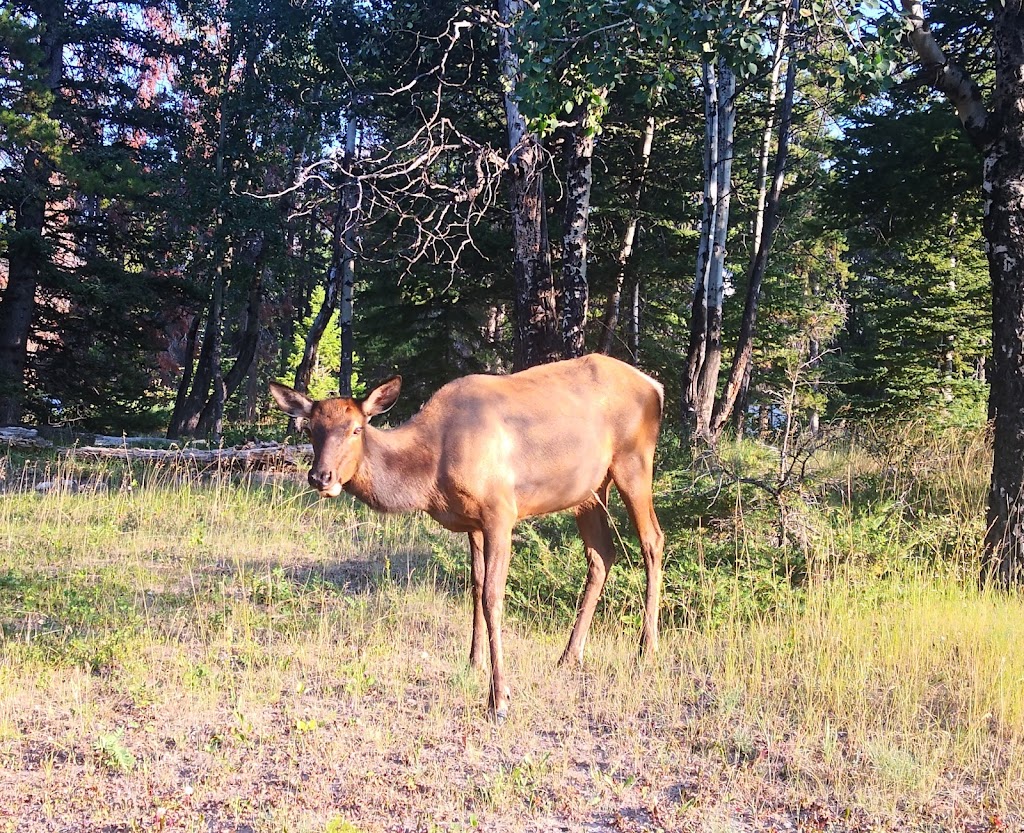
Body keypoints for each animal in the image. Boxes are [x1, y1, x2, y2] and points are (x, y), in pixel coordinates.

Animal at [268, 354, 663, 717]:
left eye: (356, 429)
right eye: (311, 430)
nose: (321, 477)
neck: (432, 471)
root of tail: (655, 387)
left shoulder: (500, 511)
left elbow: (492, 597)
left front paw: (499, 698)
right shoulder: (472, 521)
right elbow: (474, 585)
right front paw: (474, 661)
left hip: (634, 462)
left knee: (652, 541)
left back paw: (646, 651)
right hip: (589, 490)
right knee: (602, 554)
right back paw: (570, 655)